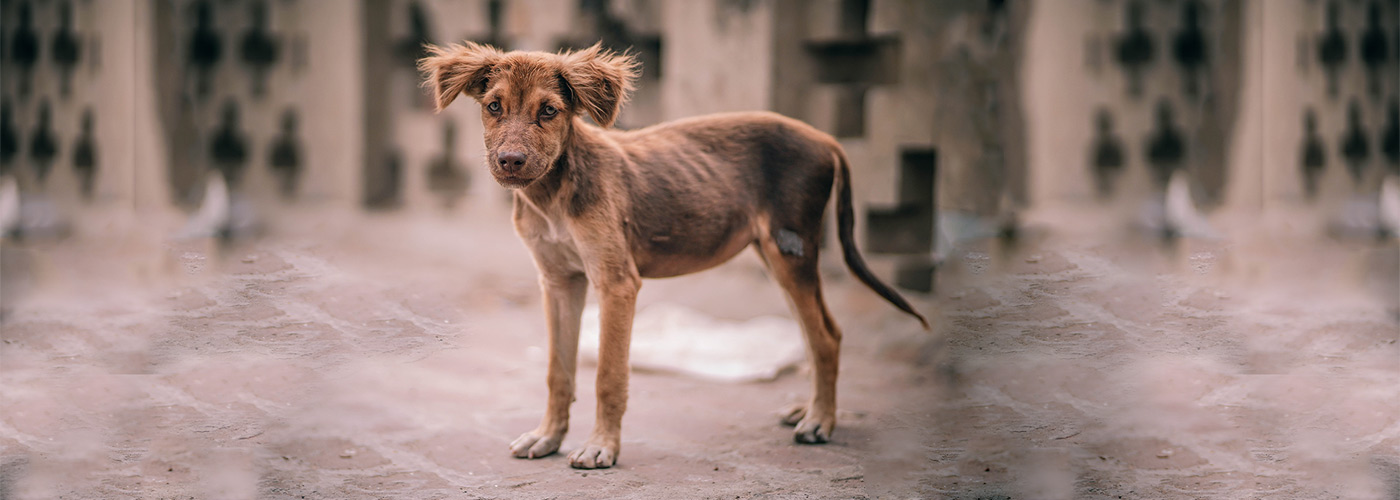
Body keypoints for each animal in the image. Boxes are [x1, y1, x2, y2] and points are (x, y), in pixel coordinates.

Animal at [417, 42, 929, 467]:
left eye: (549, 111)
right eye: (493, 107)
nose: (510, 162)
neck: (553, 195)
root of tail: (826, 140)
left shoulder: (616, 282)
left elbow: (608, 375)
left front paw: (601, 447)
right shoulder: (559, 282)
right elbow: (557, 372)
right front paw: (548, 436)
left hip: (792, 249)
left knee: (825, 336)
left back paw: (821, 421)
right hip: (775, 255)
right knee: (816, 331)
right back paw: (811, 409)